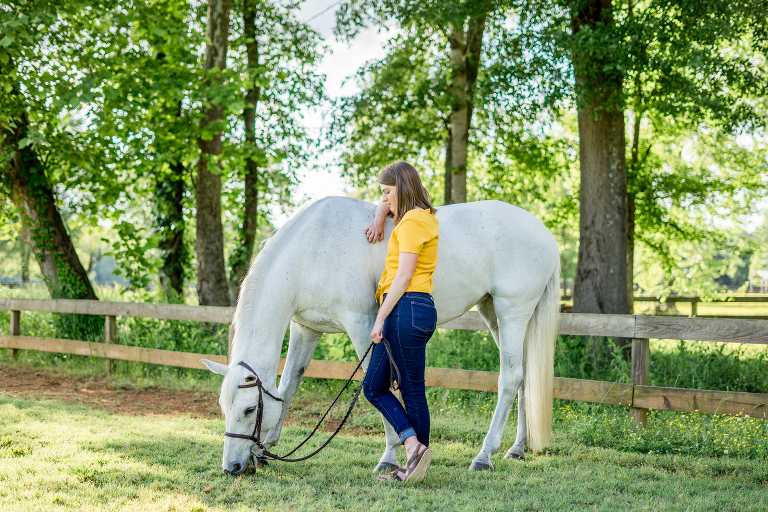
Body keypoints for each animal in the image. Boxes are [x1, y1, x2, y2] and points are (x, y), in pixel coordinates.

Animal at [200, 197, 560, 476]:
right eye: (222, 406)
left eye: (249, 409)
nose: (232, 467)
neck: (315, 248)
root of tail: (545, 233)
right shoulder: (306, 328)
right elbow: (288, 387)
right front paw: (266, 450)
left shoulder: (362, 325)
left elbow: (377, 386)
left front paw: (389, 457)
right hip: (492, 312)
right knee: (524, 378)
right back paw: (517, 448)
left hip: (511, 311)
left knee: (509, 379)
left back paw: (484, 456)